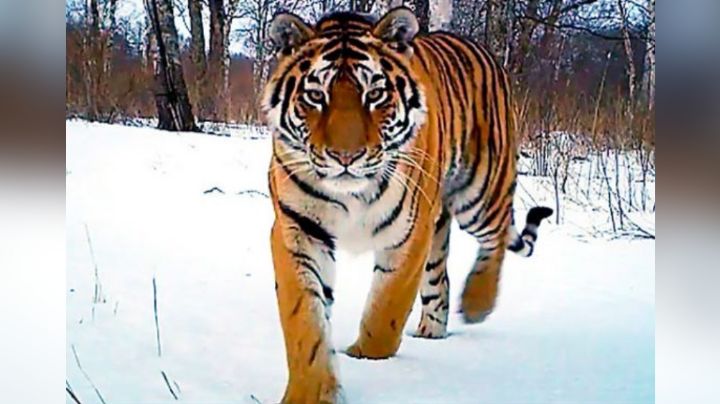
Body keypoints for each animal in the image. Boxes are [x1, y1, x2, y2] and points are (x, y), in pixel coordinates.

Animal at [262, 7, 552, 403]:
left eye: (375, 93)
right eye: (316, 95)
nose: (345, 157)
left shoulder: (409, 234)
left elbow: (385, 312)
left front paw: (366, 358)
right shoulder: (298, 230)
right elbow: (304, 321)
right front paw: (311, 393)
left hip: (480, 192)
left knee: (495, 237)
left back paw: (477, 303)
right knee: (440, 279)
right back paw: (433, 330)